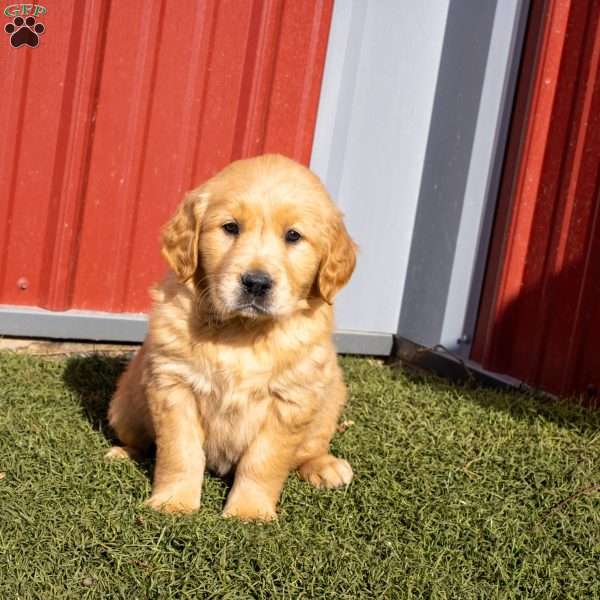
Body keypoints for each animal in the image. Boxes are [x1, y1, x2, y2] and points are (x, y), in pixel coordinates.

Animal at [107, 154, 356, 520]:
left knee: (311, 448)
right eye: (230, 228)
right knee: (143, 440)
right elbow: (179, 451)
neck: (242, 330)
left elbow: (263, 460)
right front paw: (174, 502)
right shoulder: (173, 385)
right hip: (125, 403)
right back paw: (123, 453)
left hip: (331, 396)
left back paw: (325, 466)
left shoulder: (291, 399)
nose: (256, 283)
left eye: (293, 236)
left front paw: (249, 512)